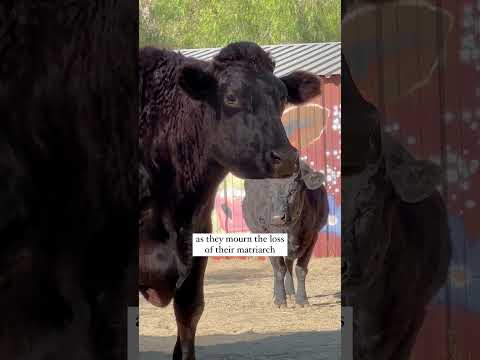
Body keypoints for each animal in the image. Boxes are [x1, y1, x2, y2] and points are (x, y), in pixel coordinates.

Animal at [244, 162, 330, 308]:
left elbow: (300, 270)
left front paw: (302, 300)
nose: (278, 218)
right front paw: (279, 300)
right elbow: (279, 269)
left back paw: (290, 293)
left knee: (289, 264)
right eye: (270, 192)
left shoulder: (312, 236)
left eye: (293, 190)